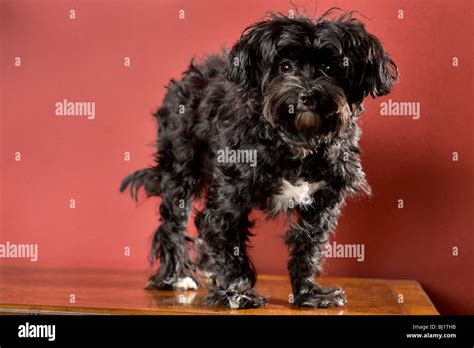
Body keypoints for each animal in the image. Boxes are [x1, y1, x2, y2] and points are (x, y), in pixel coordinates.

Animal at [119, 10, 396, 308]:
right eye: (285, 67)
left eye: (330, 69)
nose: (307, 95)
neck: (297, 140)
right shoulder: (231, 195)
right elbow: (228, 240)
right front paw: (236, 292)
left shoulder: (324, 202)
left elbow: (308, 247)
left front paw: (308, 293)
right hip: (181, 168)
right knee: (174, 220)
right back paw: (177, 276)